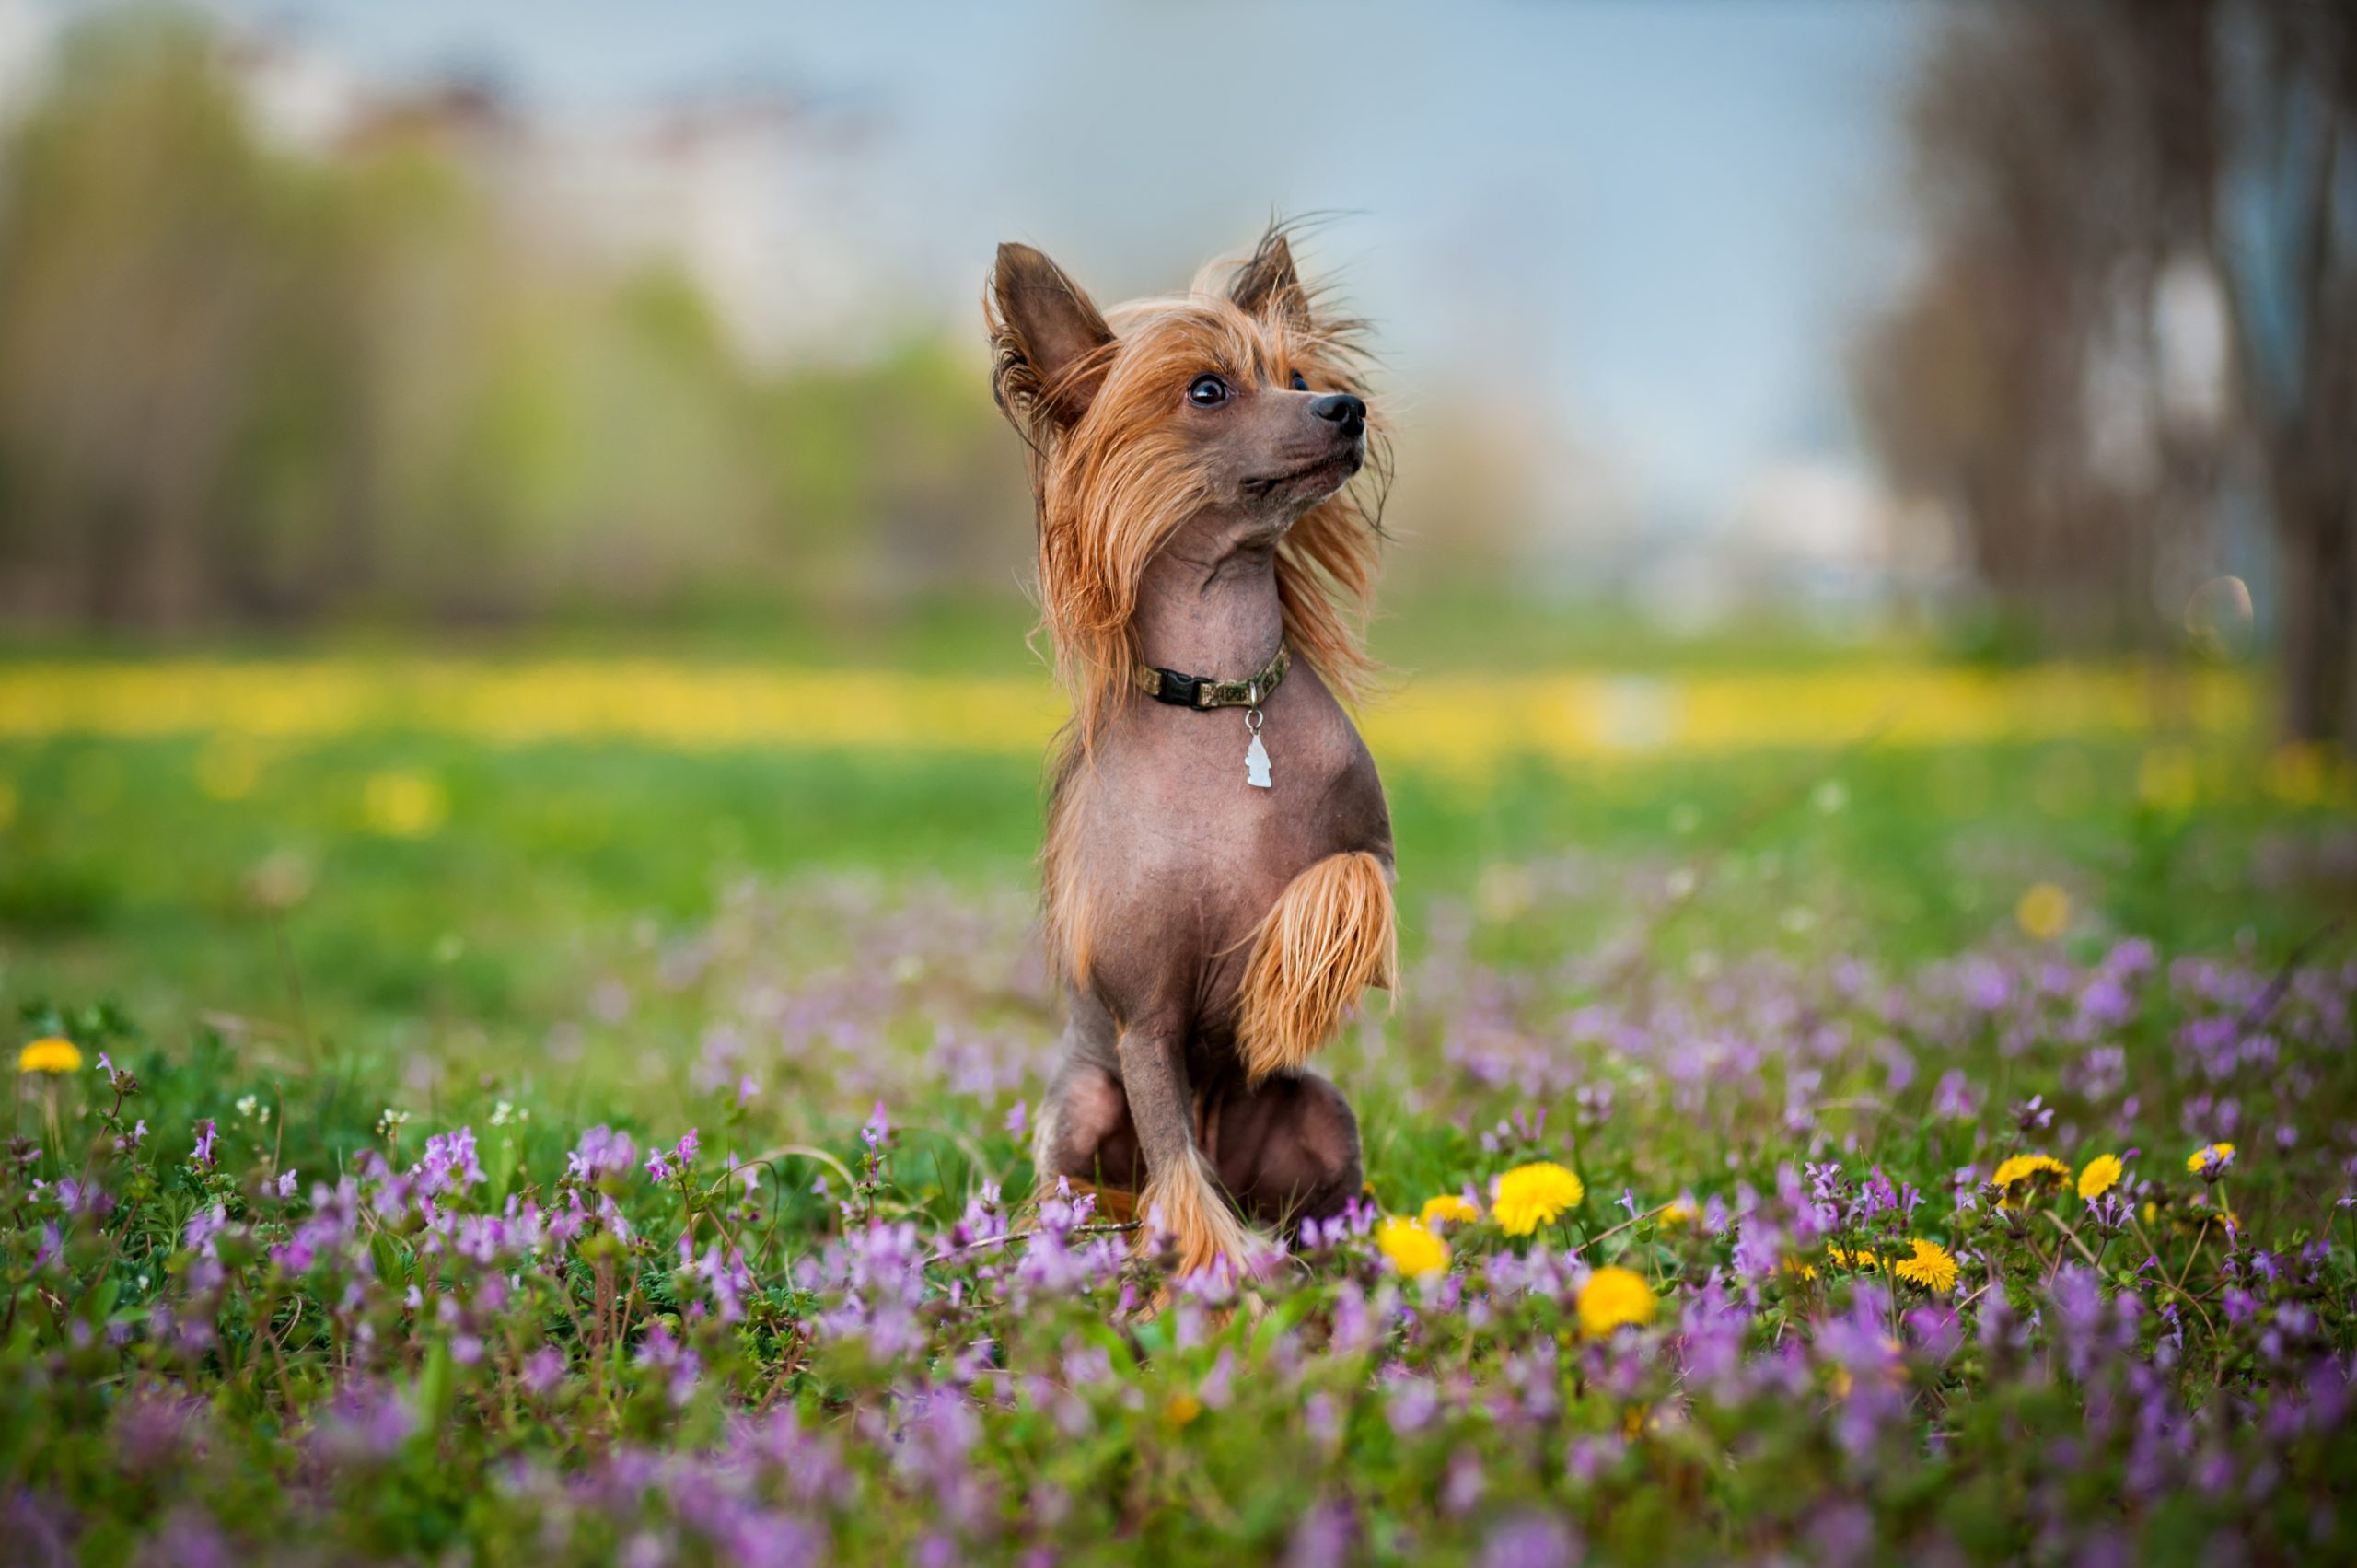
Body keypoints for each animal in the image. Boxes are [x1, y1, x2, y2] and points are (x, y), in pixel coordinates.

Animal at [980, 226, 1386, 1283]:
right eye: (1207, 390)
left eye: (1296, 376)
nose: (1345, 408)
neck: (1226, 702)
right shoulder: (1144, 1024)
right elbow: (1173, 1156)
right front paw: (1220, 1260)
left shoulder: (1371, 842)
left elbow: (1342, 881)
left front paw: (1273, 983)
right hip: (1083, 1108)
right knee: (1108, 1178)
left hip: (1319, 1113)